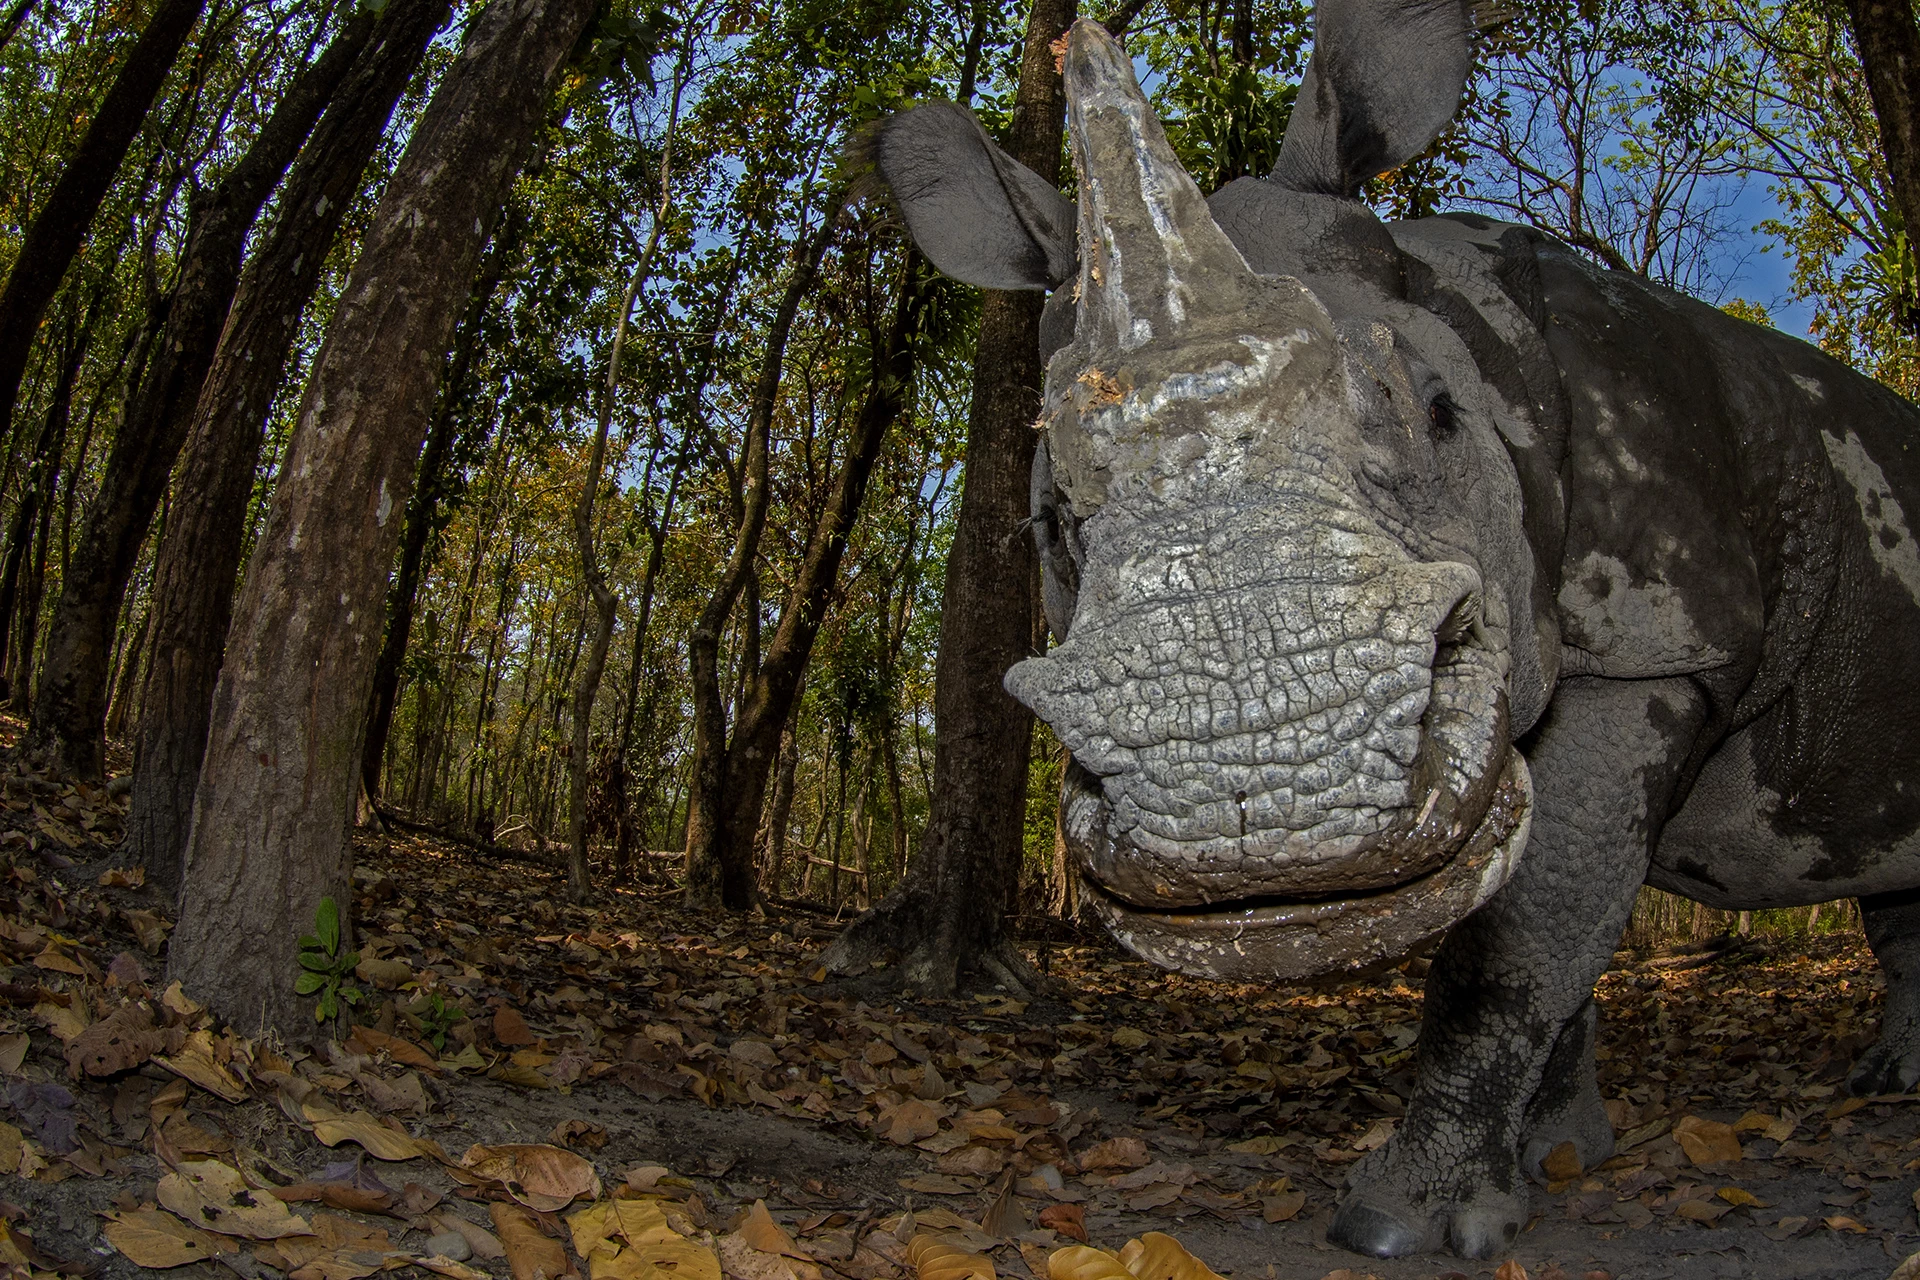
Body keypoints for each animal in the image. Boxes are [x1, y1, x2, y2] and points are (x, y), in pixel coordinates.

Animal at [866, 0, 1920, 1260]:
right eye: (1052, 519)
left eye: (1436, 411)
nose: (1273, 824)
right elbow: (1569, 925)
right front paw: (1557, 1154)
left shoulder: (1661, 640)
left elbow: (1523, 940)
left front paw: (1403, 1220)